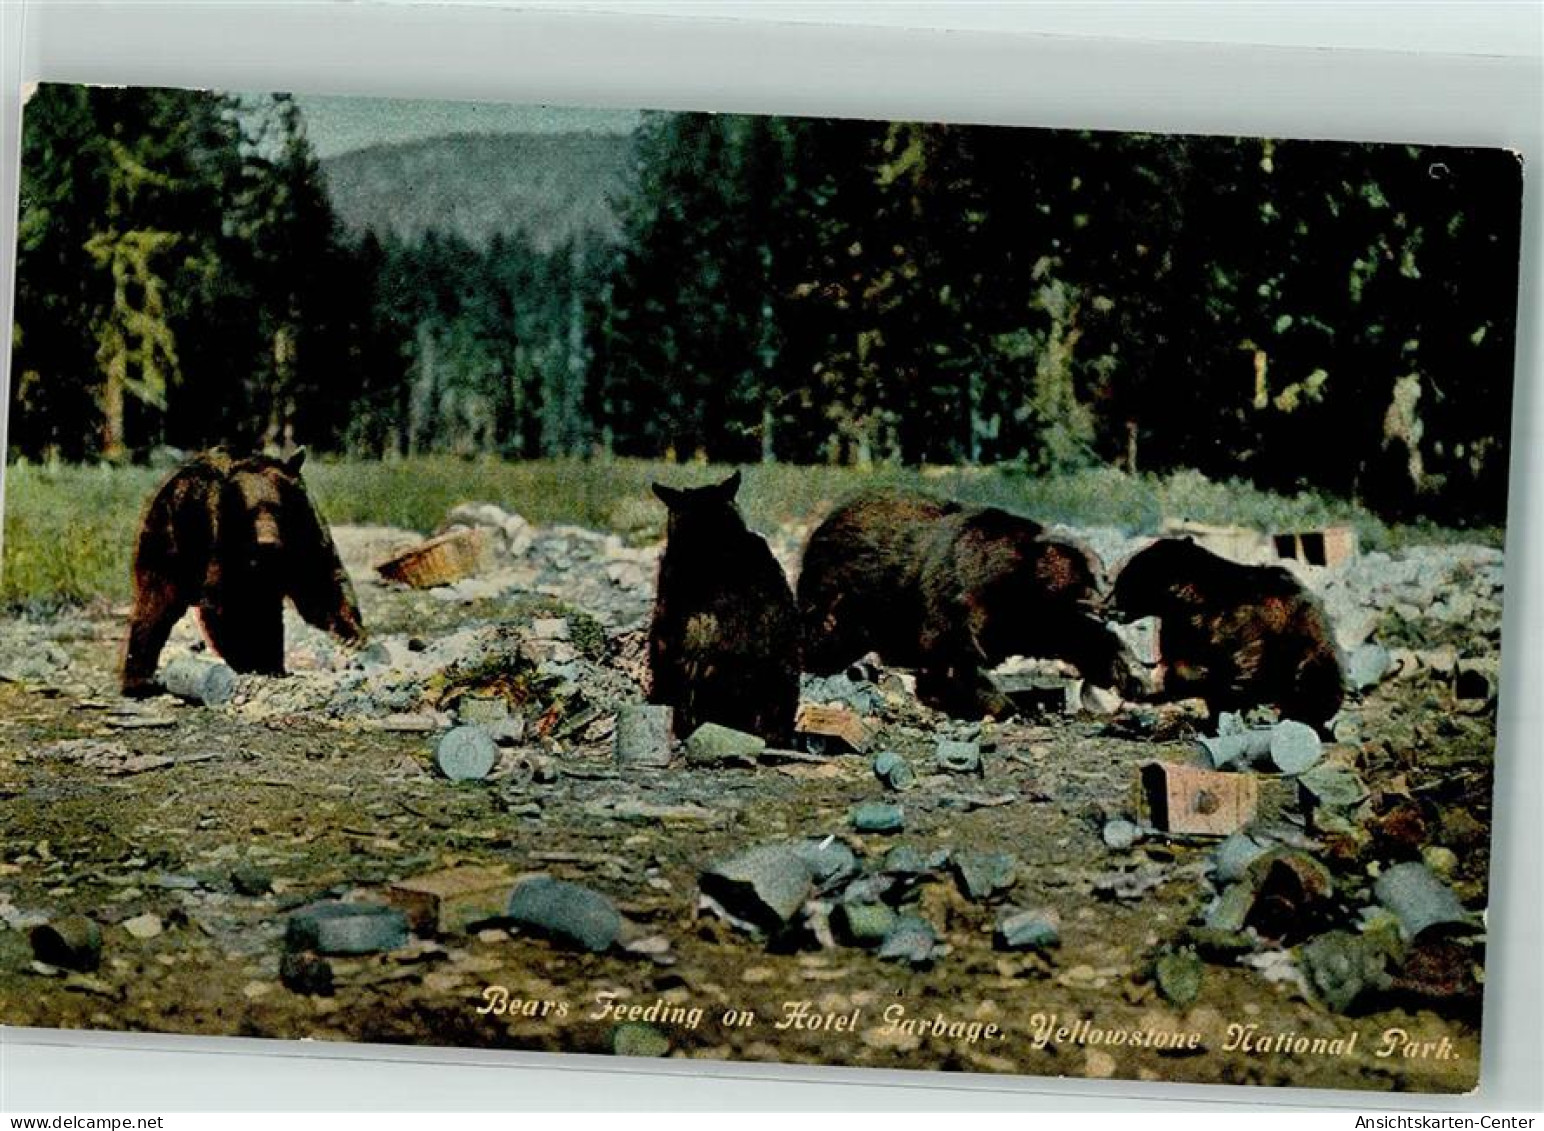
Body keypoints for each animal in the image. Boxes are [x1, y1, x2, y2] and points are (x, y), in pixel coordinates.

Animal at [121, 444, 365, 691]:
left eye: (278, 509)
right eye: (249, 512)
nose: (267, 542)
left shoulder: (305, 531)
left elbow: (320, 583)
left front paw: (352, 635)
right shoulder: (218, 539)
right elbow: (228, 604)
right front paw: (254, 661)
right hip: (169, 540)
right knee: (155, 604)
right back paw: (139, 680)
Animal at [802, 490, 1142, 719]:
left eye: (1102, 573)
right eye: (1090, 578)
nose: (1108, 606)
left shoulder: (1029, 617)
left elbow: (1076, 638)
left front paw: (1128, 675)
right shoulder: (958, 587)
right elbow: (951, 646)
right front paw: (1006, 705)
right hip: (840, 590)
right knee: (824, 631)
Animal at [1105, 536, 1346, 722]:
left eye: (1127, 580)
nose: (1108, 606)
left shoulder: (1240, 624)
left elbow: (1234, 666)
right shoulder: (1180, 625)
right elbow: (1178, 662)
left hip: (1312, 653)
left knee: (1313, 682)